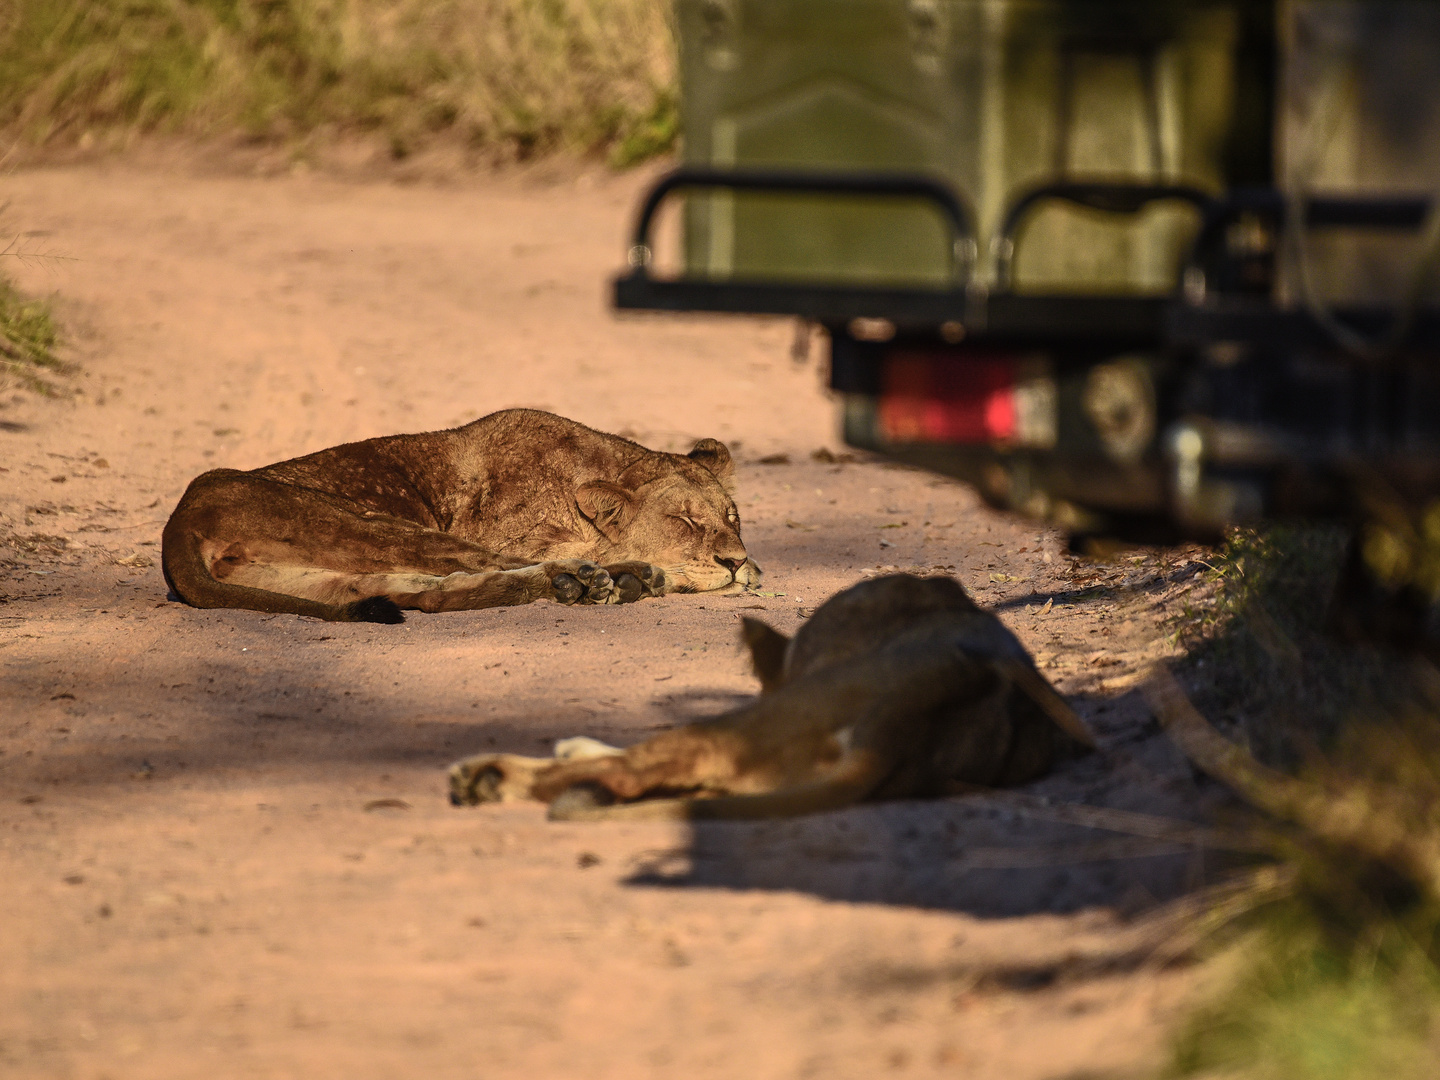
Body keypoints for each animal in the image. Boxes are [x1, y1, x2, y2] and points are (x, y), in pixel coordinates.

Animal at [162, 408, 760, 624]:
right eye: (685, 521)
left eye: (733, 519)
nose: (736, 559)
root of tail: (179, 522)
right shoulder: (520, 533)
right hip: (368, 522)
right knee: (477, 566)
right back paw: (615, 579)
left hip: (323, 571)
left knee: (424, 593)